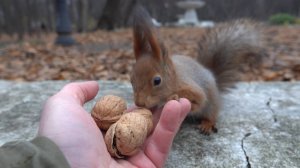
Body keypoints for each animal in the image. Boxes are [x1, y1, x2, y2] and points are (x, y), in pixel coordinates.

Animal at [129, 6, 262, 135]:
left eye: (157, 81)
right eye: (131, 80)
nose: (139, 103)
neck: (175, 79)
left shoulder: (193, 89)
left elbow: (198, 102)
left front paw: (173, 97)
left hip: (212, 104)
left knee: (211, 114)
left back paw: (207, 124)